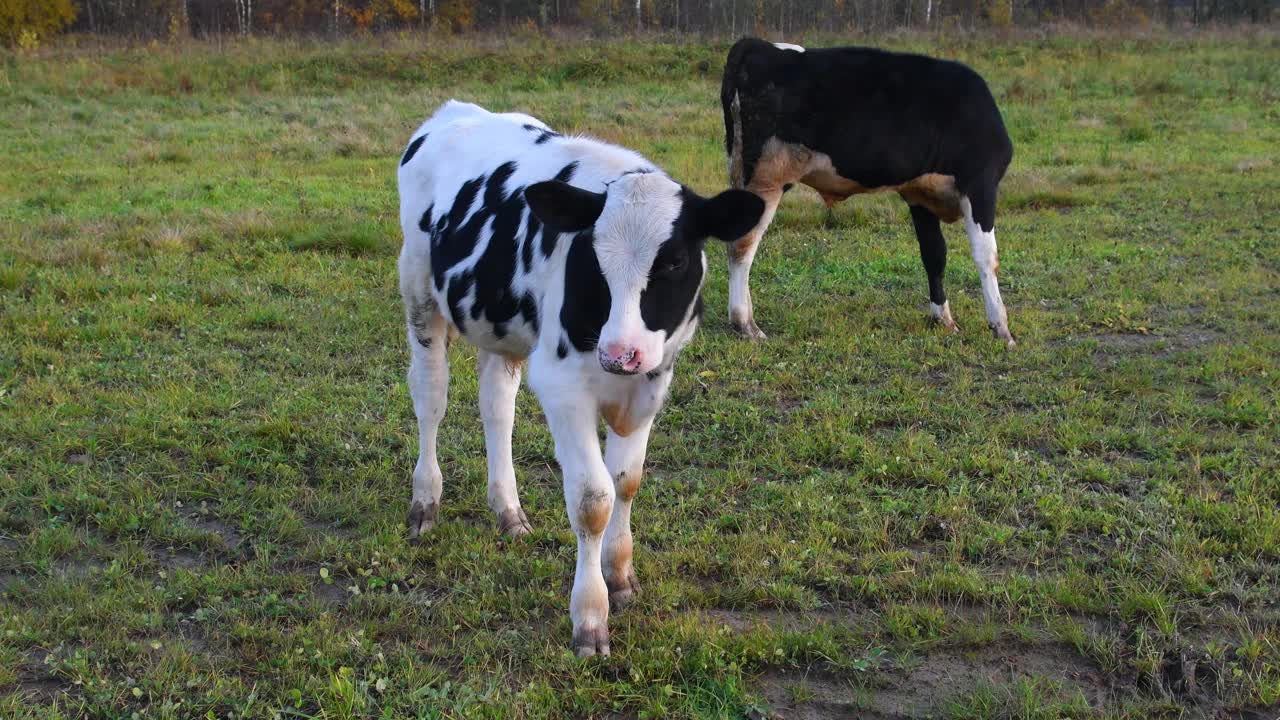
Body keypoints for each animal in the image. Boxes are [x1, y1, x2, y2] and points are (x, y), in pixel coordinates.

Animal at [396, 101, 757, 655]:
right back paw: (425, 501)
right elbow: (593, 500)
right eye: (593, 257)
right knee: (430, 398)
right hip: (419, 294)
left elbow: (627, 481)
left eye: (673, 261)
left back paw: (508, 510)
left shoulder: (651, 382)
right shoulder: (562, 386)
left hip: (499, 329)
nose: (620, 352)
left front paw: (621, 574)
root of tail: (456, 110)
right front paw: (590, 618)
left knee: (496, 407)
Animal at [716, 36, 1013, 345]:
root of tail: (755, 44)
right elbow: (987, 257)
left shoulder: (919, 194)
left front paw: (942, 318)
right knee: (742, 244)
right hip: (768, 176)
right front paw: (1001, 327)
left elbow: (934, 255)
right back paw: (745, 323)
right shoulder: (981, 183)